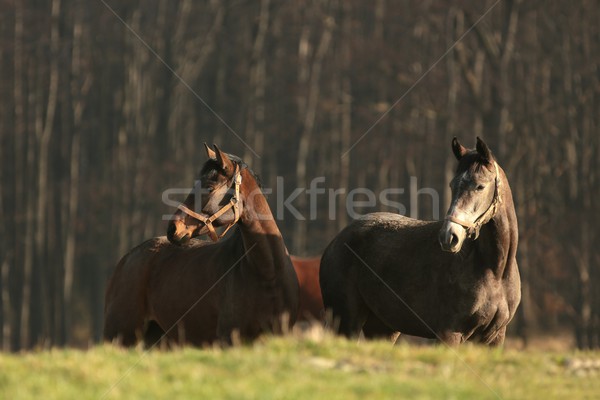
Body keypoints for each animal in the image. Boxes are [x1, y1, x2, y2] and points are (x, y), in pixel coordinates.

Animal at [318, 137, 520, 344]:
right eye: (452, 185)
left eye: (480, 186)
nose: (449, 237)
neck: (495, 271)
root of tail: (336, 241)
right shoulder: (449, 334)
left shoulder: (494, 337)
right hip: (346, 321)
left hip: (382, 328)